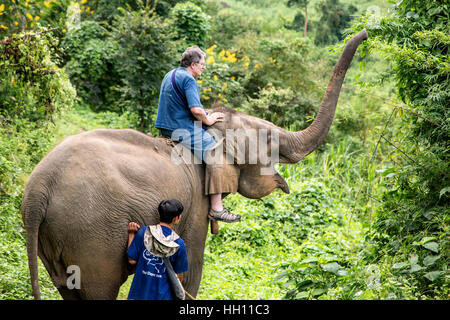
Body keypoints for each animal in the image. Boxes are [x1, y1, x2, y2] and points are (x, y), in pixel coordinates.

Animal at [21, 28, 368, 298]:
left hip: (56, 238)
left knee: (68, 287)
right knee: (99, 288)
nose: (366, 33)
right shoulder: (195, 207)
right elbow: (190, 270)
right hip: (90, 233)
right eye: (270, 141)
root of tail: (38, 191)